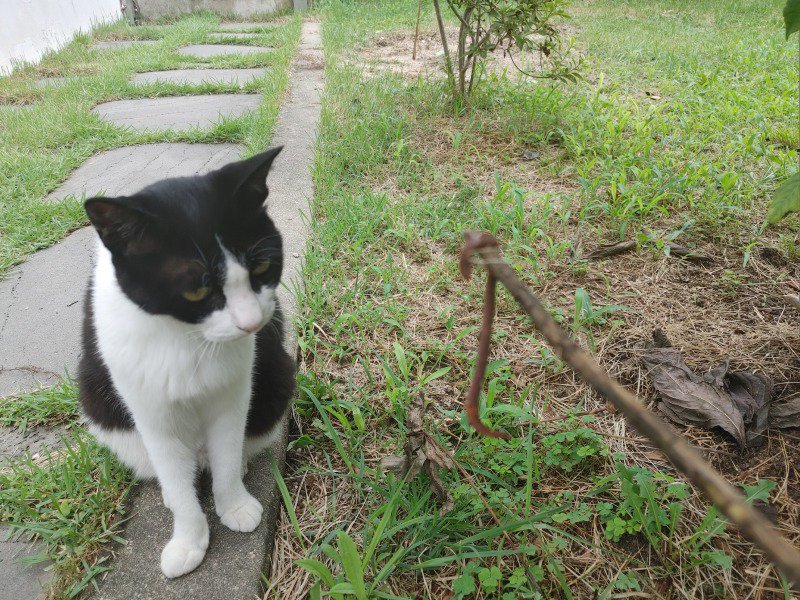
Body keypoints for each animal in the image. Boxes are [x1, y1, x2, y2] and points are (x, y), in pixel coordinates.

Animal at [78, 145, 296, 576]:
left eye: (262, 266)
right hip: (100, 406)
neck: (187, 338)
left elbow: (226, 451)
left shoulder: (233, 395)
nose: (251, 324)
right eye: (196, 290)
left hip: (277, 380)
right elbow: (177, 481)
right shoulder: (150, 412)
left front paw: (234, 505)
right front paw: (188, 541)